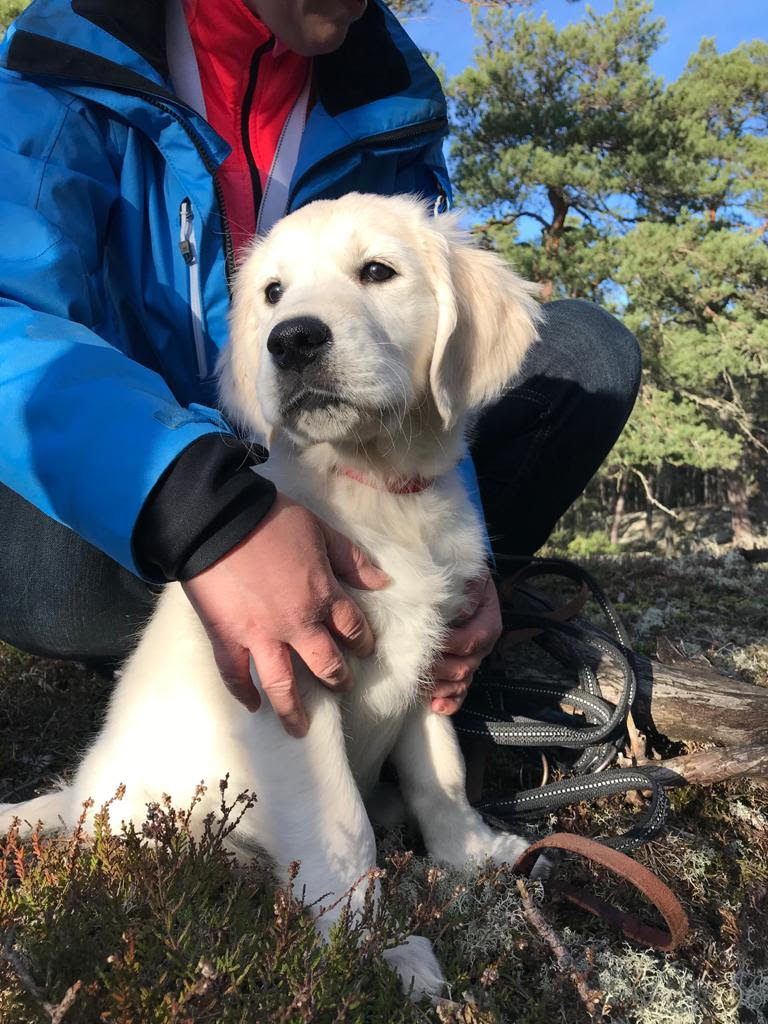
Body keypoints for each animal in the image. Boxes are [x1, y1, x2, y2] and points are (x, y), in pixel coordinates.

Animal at [0, 193, 542, 998]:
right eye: (274, 293)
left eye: (377, 271)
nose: (292, 341)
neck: (375, 489)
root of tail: (76, 796)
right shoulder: (289, 679)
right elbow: (343, 828)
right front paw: (367, 951)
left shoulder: (434, 663)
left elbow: (440, 774)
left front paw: (469, 853)